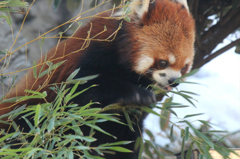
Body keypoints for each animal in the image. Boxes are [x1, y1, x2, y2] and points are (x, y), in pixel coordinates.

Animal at [0, 0, 195, 158]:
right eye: (163, 62)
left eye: (184, 67)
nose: (173, 81)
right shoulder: (93, 50)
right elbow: (82, 89)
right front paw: (136, 94)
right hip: (28, 115)